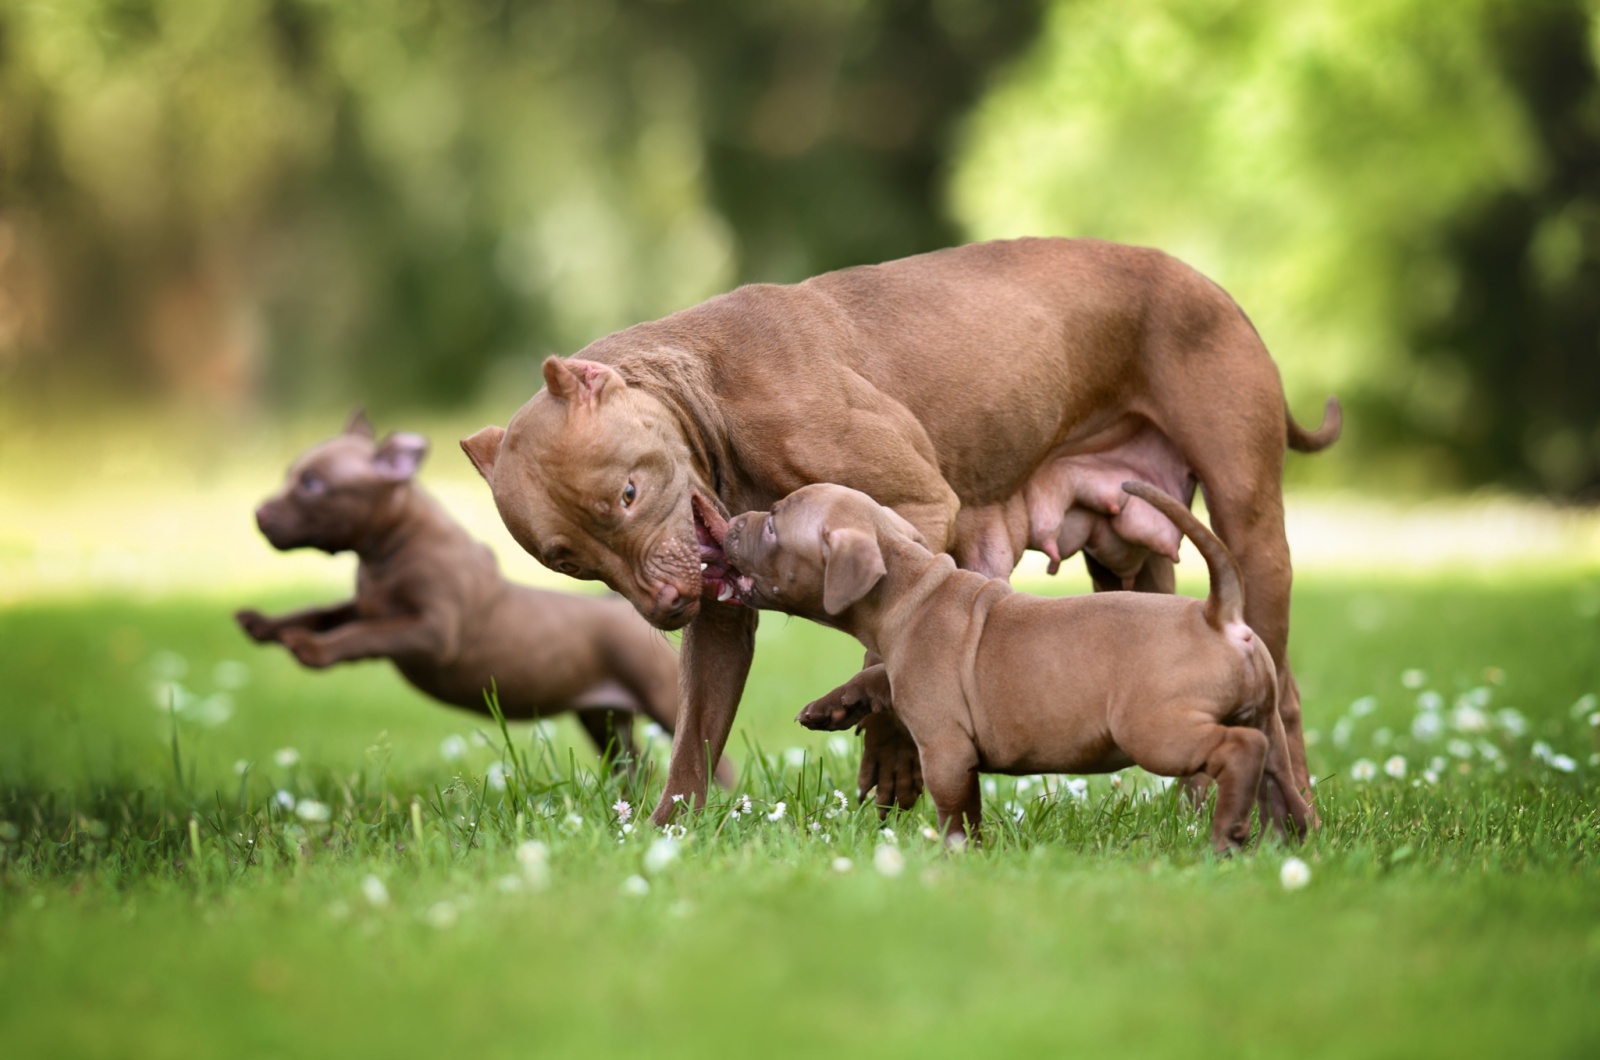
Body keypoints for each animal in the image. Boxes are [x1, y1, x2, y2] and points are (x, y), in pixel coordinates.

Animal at [235, 409, 720, 778]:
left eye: (312, 485)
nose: (257, 515)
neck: (388, 550)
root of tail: (618, 607)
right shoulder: (367, 606)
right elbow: (323, 612)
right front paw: (267, 626)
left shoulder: (431, 633)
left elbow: (364, 636)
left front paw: (312, 650)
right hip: (601, 718)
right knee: (631, 763)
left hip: (661, 698)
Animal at [716, 483, 1312, 858]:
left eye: (772, 526)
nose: (728, 523)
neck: (910, 590)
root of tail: (1219, 615)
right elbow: (877, 676)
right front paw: (832, 706)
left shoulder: (947, 749)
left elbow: (958, 812)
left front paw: (959, 859)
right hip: (1266, 724)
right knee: (1283, 784)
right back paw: (1283, 844)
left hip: (1157, 732)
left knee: (1239, 751)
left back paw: (1225, 836)